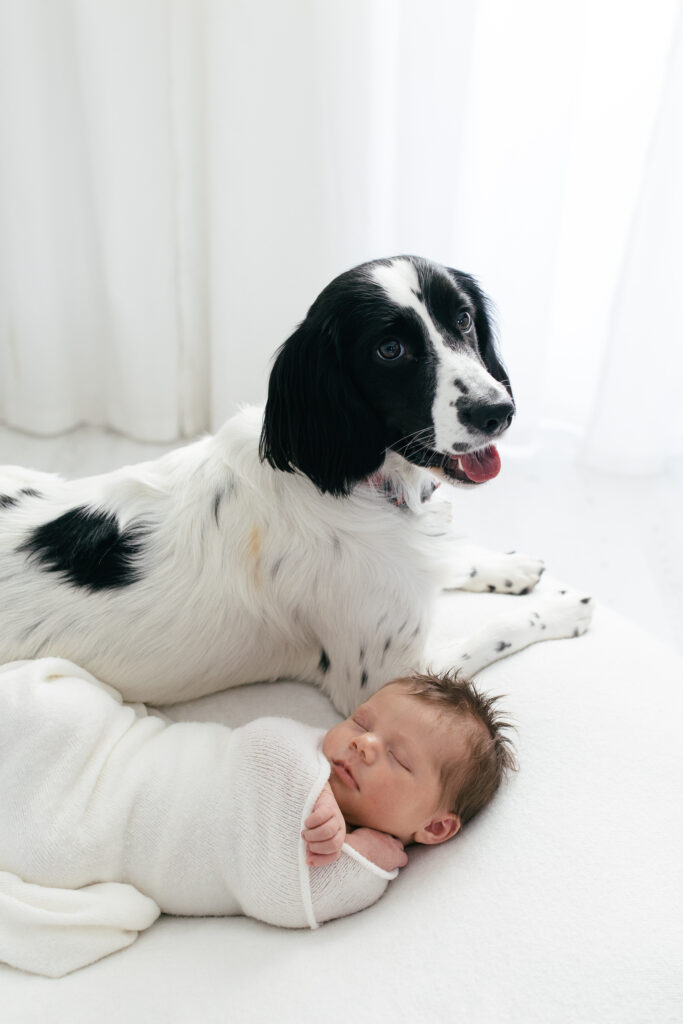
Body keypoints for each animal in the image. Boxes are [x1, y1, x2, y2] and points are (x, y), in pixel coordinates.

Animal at [0, 258, 589, 712]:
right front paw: (562, 609)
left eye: (463, 318)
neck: (355, 483)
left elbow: (455, 559)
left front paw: (510, 566)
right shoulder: (384, 682)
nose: (499, 411)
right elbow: (494, 632)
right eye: (390, 349)